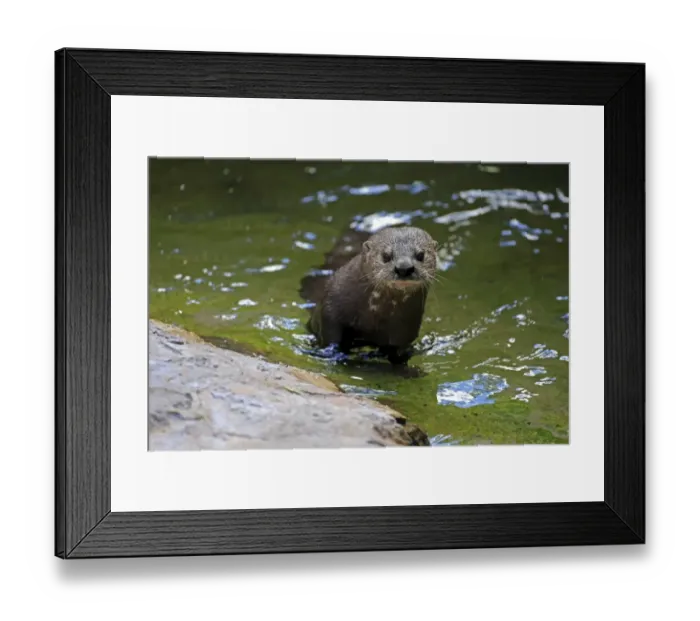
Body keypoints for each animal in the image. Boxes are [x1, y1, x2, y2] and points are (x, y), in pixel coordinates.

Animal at [300, 226, 438, 364]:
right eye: (386, 256)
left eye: (421, 255)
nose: (404, 268)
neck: (373, 315)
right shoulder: (330, 308)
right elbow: (330, 336)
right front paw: (334, 353)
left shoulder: (406, 329)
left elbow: (397, 349)